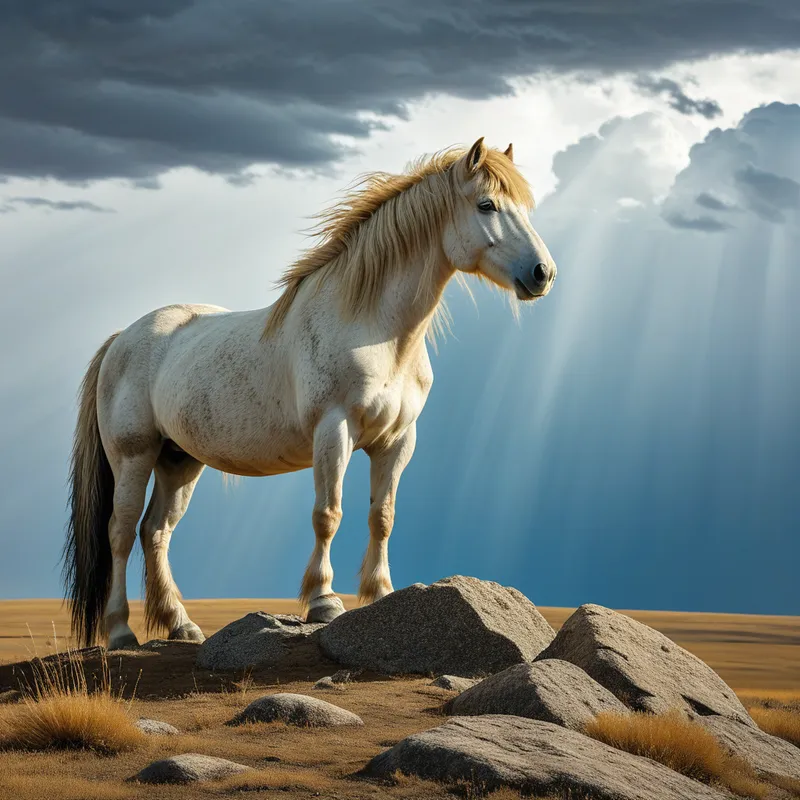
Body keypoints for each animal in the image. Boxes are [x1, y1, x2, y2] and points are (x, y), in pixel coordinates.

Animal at [62, 137, 557, 650]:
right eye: (486, 205)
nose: (543, 273)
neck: (372, 329)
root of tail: (122, 337)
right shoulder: (333, 430)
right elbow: (328, 514)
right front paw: (324, 601)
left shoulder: (397, 441)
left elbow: (383, 516)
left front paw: (381, 593)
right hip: (134, 456)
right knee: (121, 532)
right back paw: (121, 631)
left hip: (179, 460)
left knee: (156, 531)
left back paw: (182, 625)